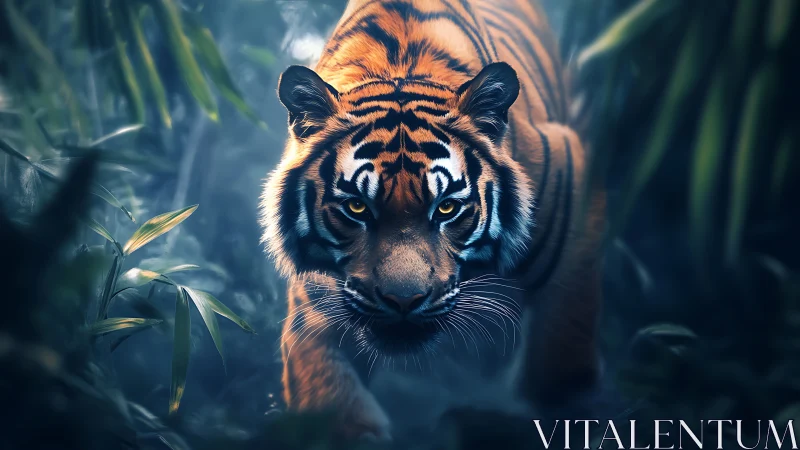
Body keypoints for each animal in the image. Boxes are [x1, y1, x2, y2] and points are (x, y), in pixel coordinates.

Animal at [260, 0, 605, 440]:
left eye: (446, 208)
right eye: (357, 208)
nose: (403, 301)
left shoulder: (574, 177)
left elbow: (560, 366)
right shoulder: (316, 313)